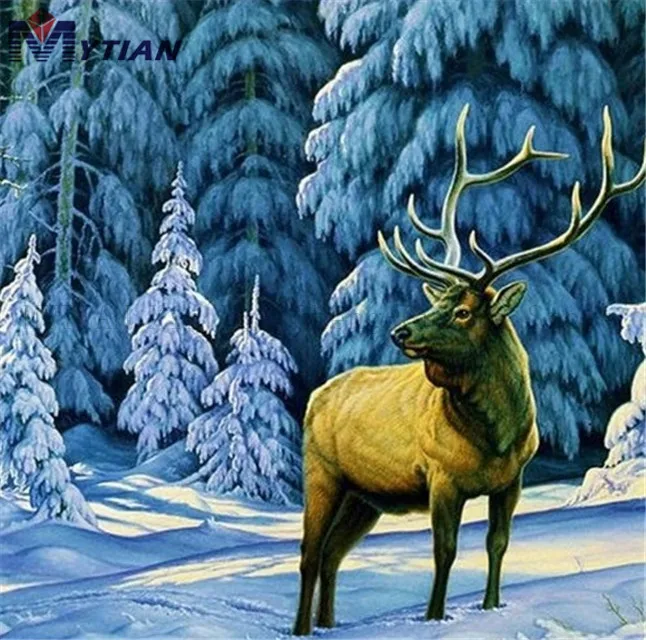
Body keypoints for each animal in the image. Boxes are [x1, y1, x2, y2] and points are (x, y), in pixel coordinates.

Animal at [292, 104, 645, 636]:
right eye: (436, 302)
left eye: (461, 311)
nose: (400, 332)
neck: (495, 435)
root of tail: (316, 396)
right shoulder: (441, 478)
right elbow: (445, 552)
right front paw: (435, 616)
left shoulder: (511, 481)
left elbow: (497, 544)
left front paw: (492, 606)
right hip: (322, 473)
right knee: (310, 554)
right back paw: (300, 627)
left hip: (364, 496)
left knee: (333, 554)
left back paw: (327, 625)